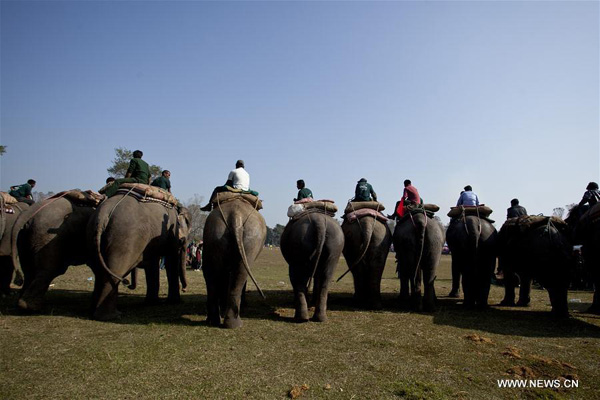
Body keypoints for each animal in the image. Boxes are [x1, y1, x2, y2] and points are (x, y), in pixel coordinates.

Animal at [86, 192, 190, 320]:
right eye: (182, 240)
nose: (185, 289)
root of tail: (103, 214)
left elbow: (152, 264)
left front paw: (152, 303)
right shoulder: (171, 236)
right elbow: (171, 261)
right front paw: (174, 302)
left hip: (92, 235)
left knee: (99, 271)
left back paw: (92, 311)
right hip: (125, 237)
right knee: (114, 270)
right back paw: (111, 316)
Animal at [203, 197, 266, 328]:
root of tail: (236, 215)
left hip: (216, 233)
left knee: (213, 272)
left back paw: (216, 321)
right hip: (251, 238)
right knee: (240, 271)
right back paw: (234, 323)